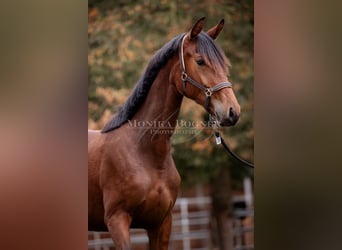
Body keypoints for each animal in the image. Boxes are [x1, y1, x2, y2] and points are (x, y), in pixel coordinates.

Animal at [89, 16, 242, 249]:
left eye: (224, 65)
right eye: (200, 61)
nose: (233, 112)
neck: (144, 152)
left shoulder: (161, 223)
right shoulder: (117, 221)